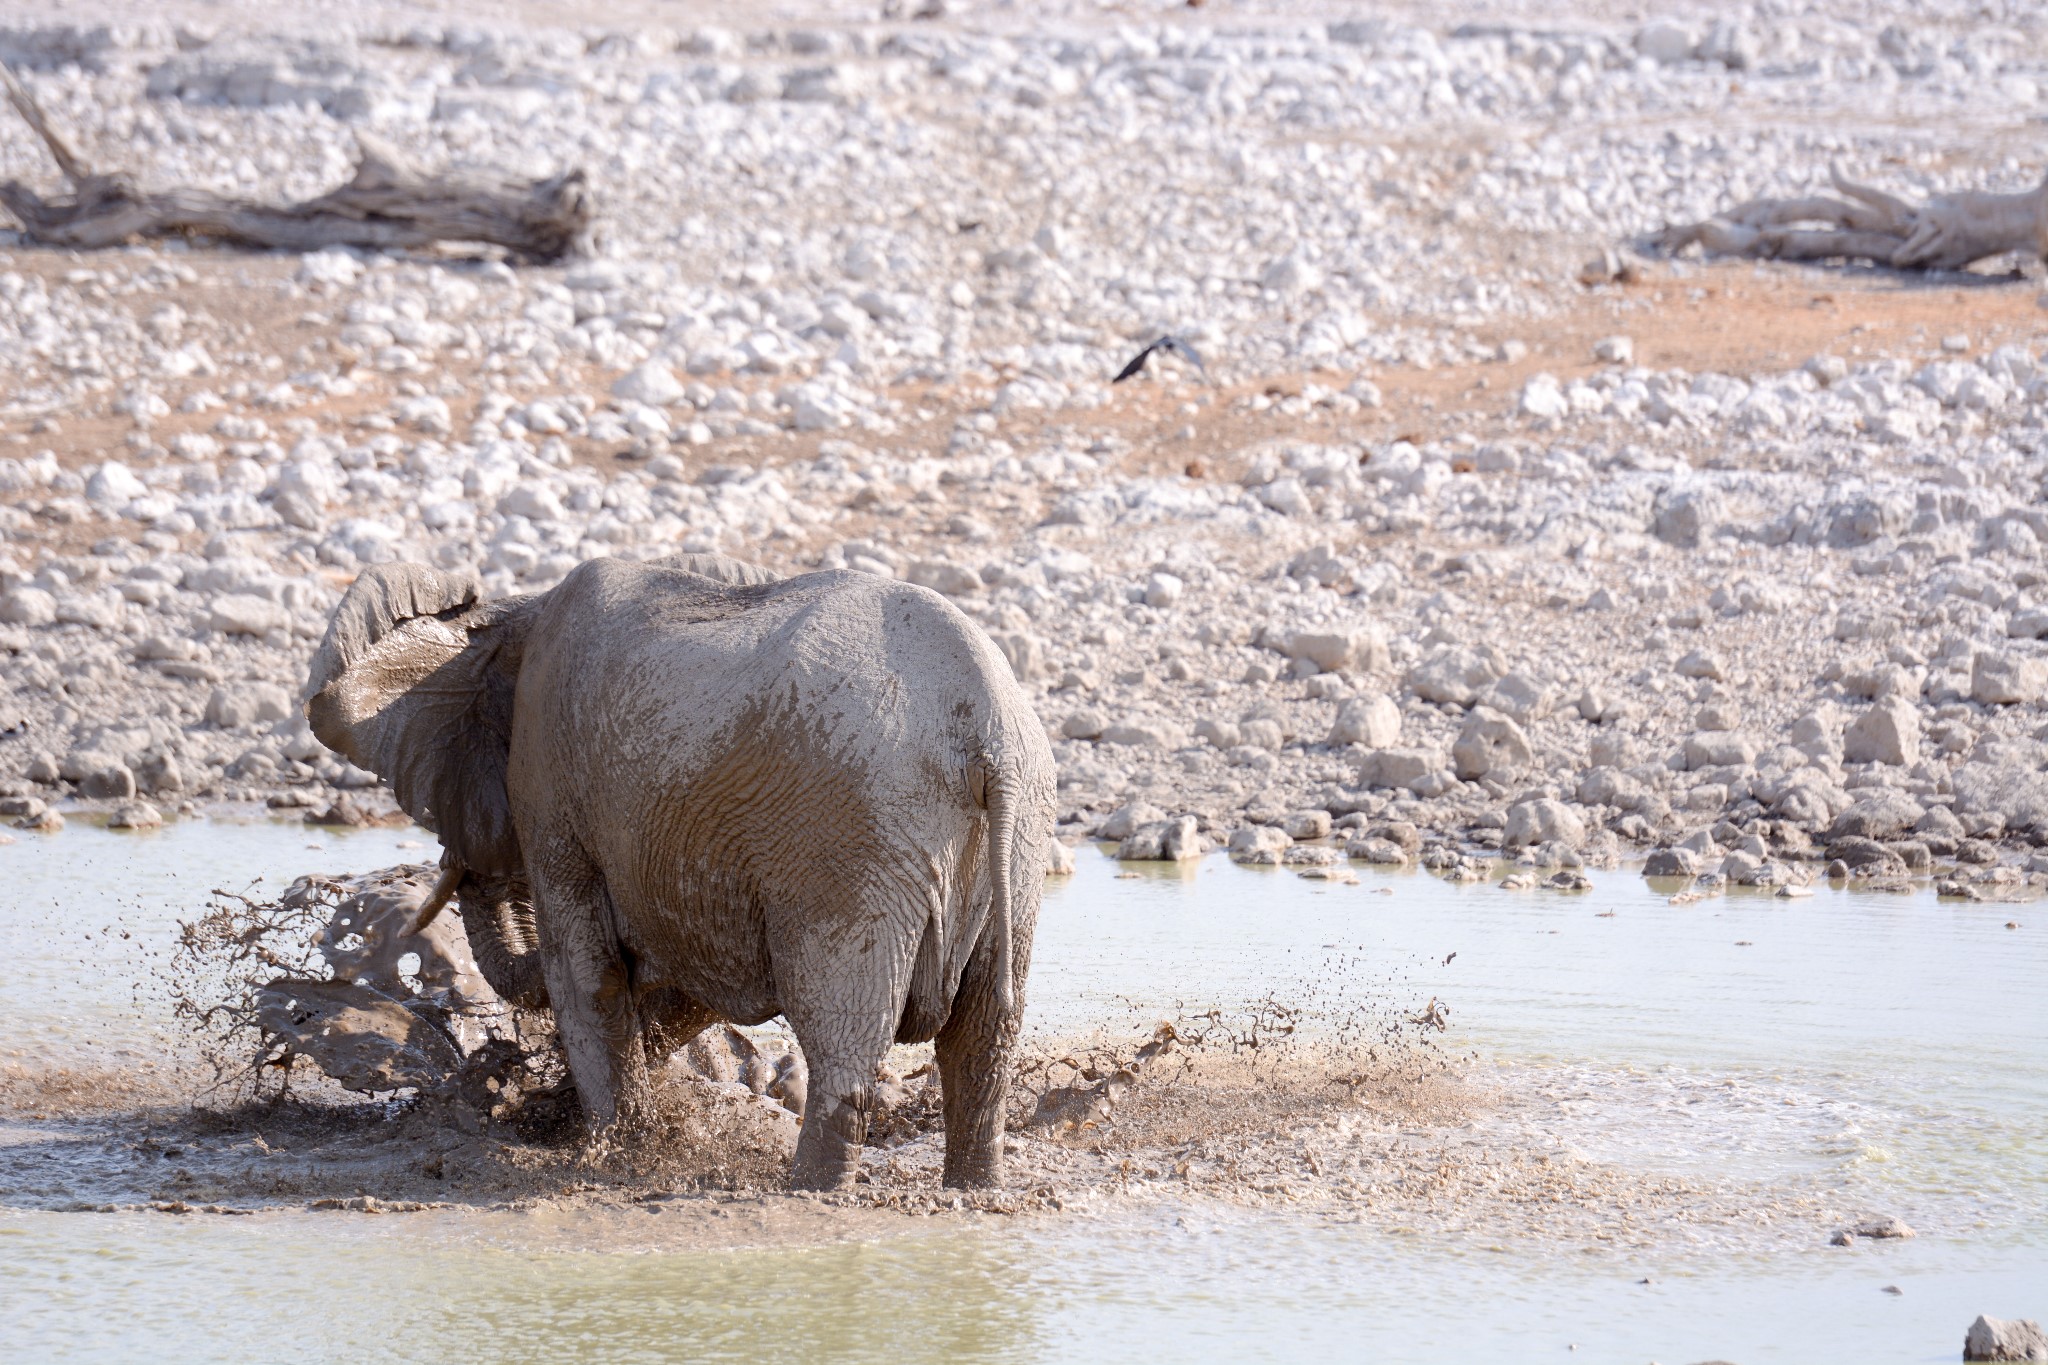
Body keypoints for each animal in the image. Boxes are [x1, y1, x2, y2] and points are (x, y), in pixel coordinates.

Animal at [303, 548, 1056, 1186]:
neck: (511, 615)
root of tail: (986, 728)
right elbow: (685, 982)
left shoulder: (549, 778)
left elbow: (584, 972)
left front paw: (615, 1152)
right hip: (1016, 843)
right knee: (984, 1042)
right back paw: (974, 1190)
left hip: (855, 846)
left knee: (846, 1048)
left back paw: (807, 1194)